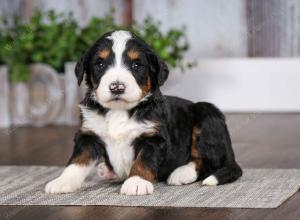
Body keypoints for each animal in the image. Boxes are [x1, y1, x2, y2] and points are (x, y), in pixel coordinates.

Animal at [44, 30, 243, 195]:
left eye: (136, 65)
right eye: (100, 64)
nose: (117, 87)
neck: (119, 111)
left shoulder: (153, 138)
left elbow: (143, 160)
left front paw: (136, 182)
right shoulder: (88, 134)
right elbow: (77, 161)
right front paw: (62, 182)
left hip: (206, 113)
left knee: (208, 161)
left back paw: (181, 173)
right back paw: (108, 171)